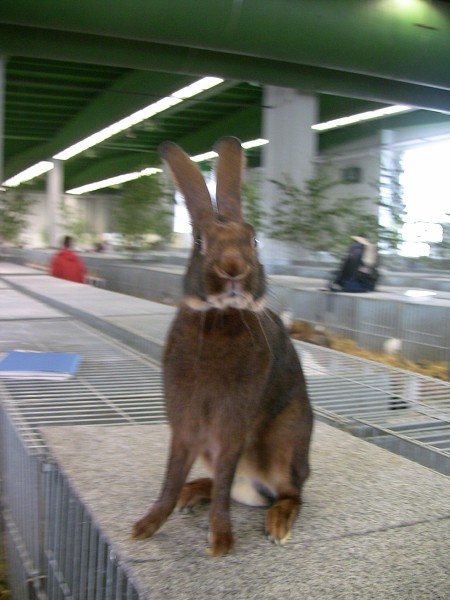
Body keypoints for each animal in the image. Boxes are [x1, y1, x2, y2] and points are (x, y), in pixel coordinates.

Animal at [132, 137, 312, 556]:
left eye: (254, 240)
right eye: (199, 241)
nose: (233, 268)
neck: (220, 314)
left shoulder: (230, 426)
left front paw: (220, 541)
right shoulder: (185, 426)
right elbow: (170, 476)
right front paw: (146, 526)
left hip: (285, 443)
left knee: (290, 493)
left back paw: (277, 523)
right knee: (224, 485)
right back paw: (193, 492)